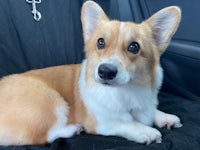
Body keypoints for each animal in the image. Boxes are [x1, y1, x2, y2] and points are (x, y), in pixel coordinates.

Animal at [0, 0, 183, 145]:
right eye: (100, 42)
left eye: (134, 46)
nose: (105, 71)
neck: (127, 90)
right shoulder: (101, 122)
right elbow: (125, 123)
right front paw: (145, 131)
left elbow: (151, 110)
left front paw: (165, 117)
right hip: (51, 100)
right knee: (43, 136)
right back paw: (71, 129)